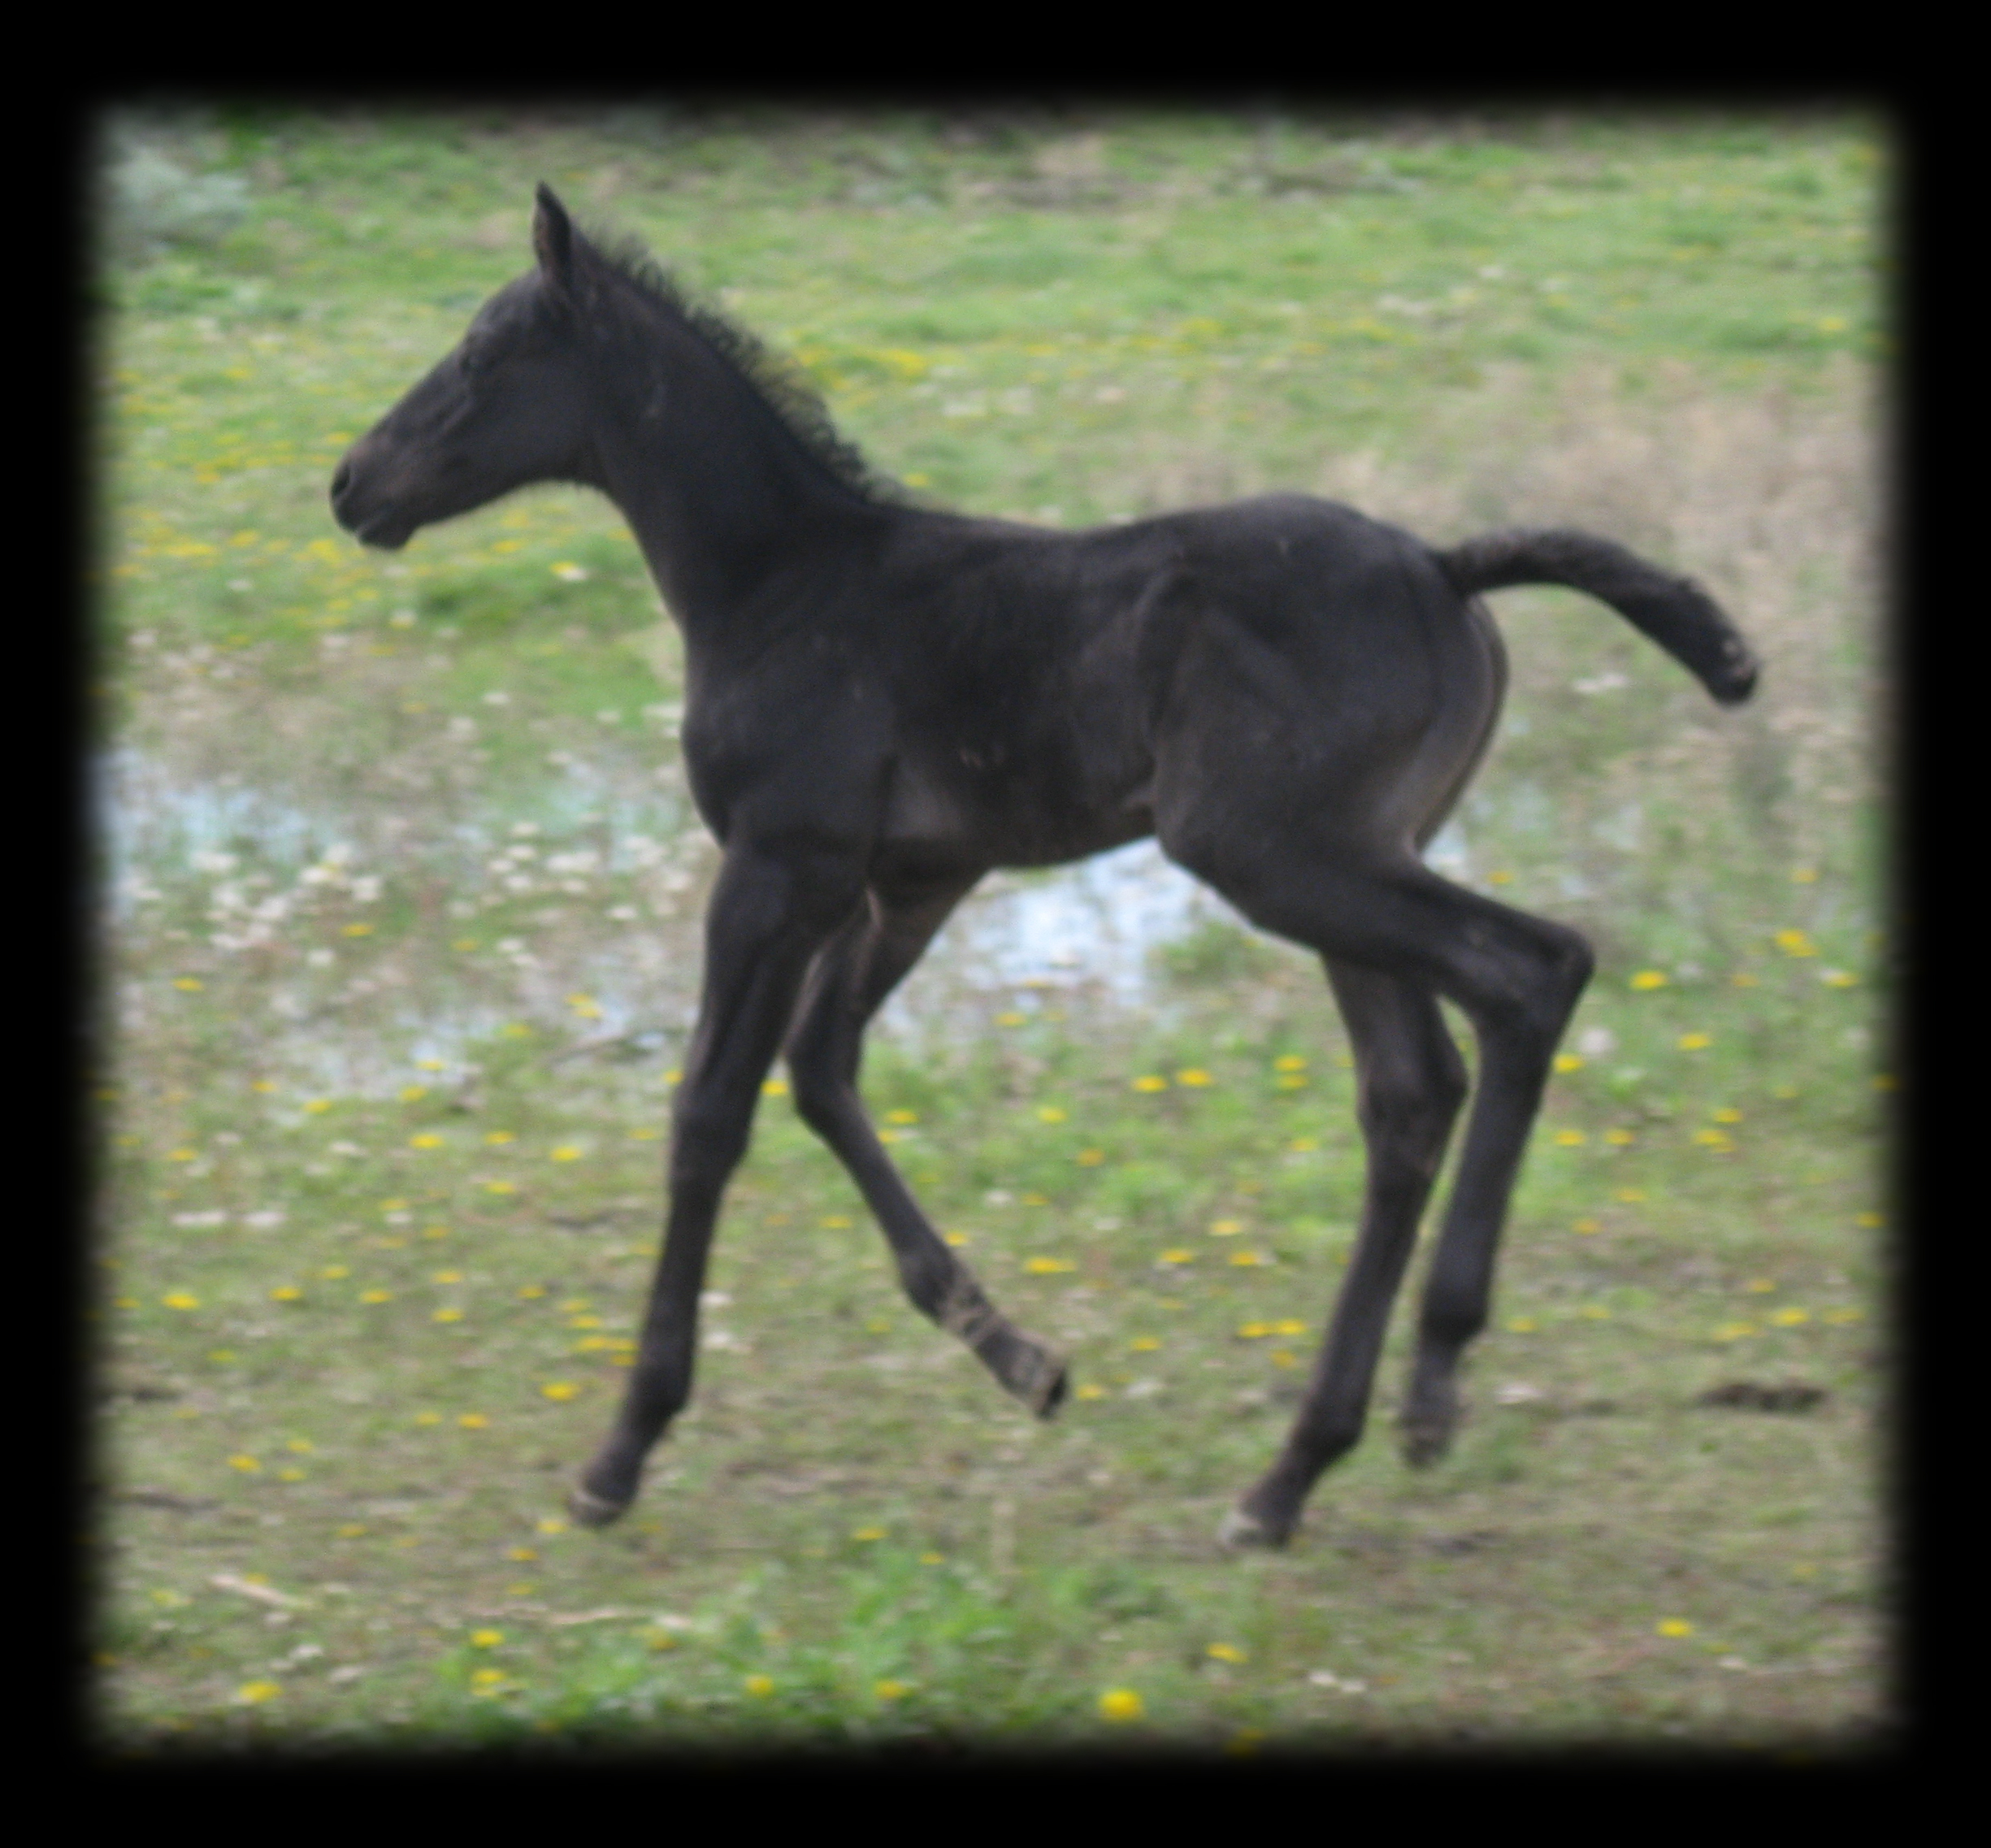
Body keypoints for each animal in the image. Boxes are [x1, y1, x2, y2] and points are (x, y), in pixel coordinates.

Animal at [332, 186, 1758, 1549]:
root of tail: (1441, 564)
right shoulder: (912, 881)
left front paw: (620, 1452)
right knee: (1411, 1092)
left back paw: (1432, 1379)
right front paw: (1016, 1354)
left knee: (1530, 970)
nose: (351, 485)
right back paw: (1293, 1471)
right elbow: (820, 1070)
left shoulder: (778, 868)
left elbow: (707, 1114)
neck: (782, 583)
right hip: (1352, 859)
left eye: (482, 351)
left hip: (1275, 854)